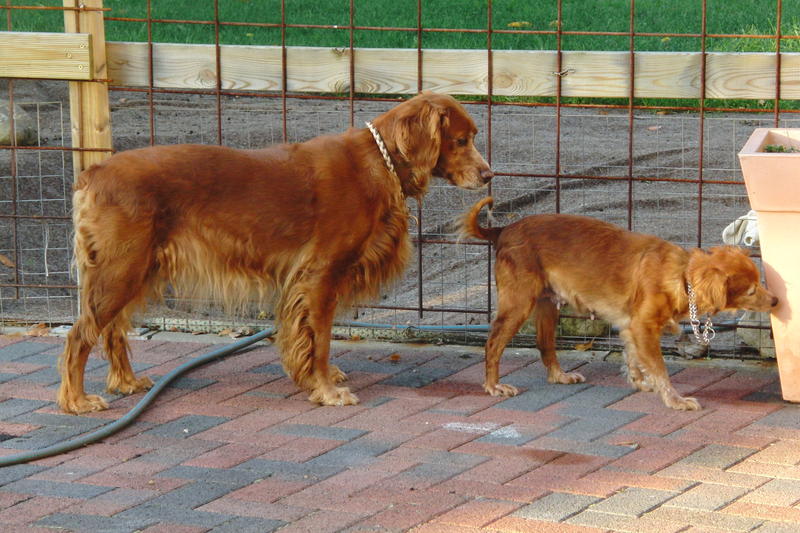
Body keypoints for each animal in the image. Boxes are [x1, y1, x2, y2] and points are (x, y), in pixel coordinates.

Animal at [57, 93, 494, 414]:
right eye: (461, 140)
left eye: (473, 136)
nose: (489, 175)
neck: (378, 161)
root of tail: (94, 173)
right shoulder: (320, 276)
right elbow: (320, 339)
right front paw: (325, 390)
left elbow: (314, 340)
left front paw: (319, 379)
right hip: (121, 270)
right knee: (80, 334)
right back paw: (76, 400)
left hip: (134, 270)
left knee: (112, 330)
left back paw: (127, 383)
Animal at [460, 197, 780, 410]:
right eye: (751, 290)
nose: (777, 300)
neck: (681, 275)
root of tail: (504, 229)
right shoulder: (643, 327)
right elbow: (659, 369)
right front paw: (675, 400)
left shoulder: (630, 327)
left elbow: (634, 359)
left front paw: (640, 383)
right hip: (519, 304)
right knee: (493, 343)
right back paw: (494, 386)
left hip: (547, 305)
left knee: (545, 345)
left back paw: (559, 376)